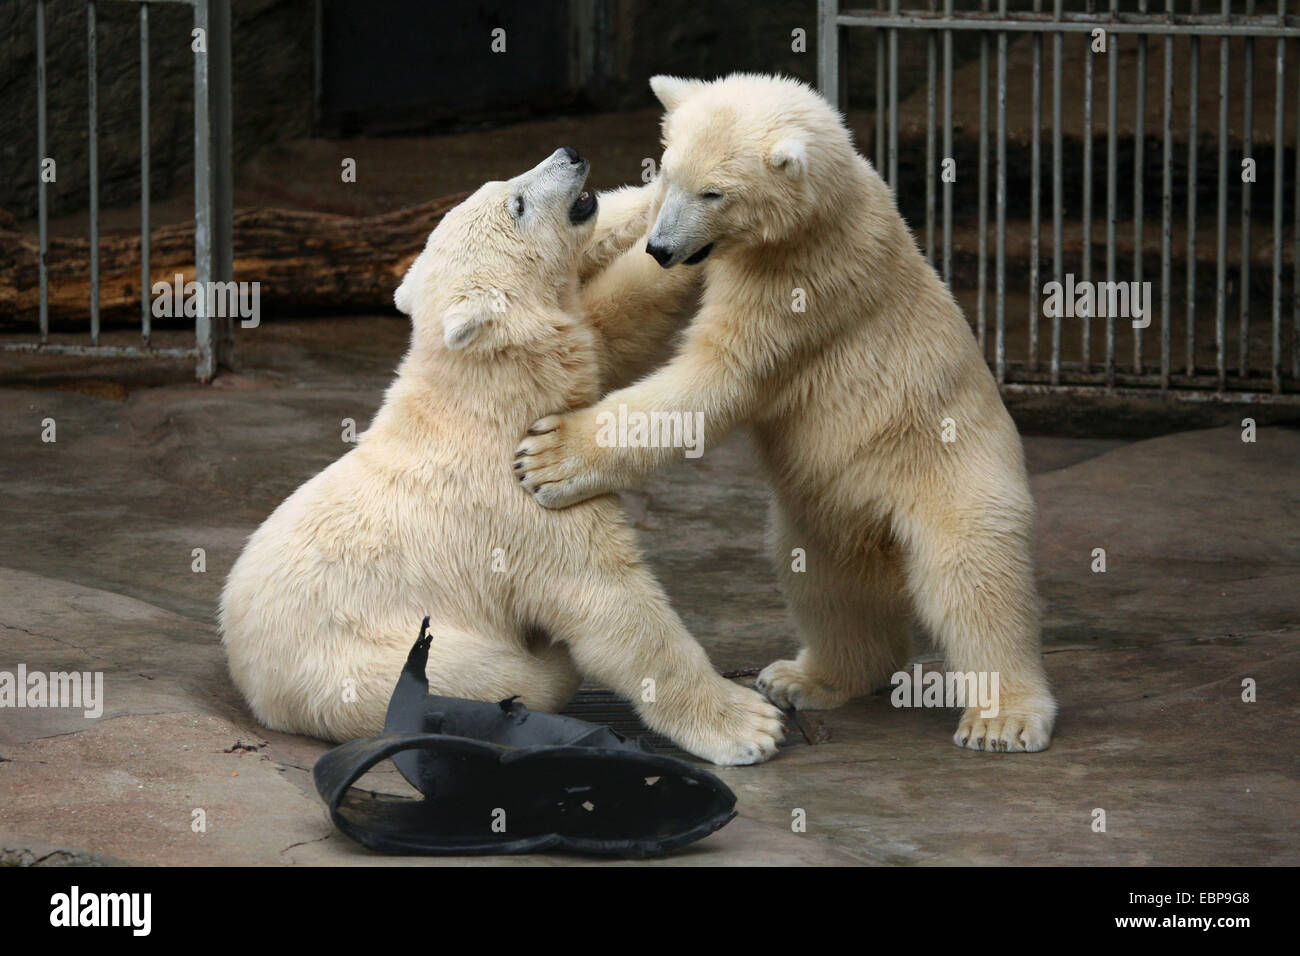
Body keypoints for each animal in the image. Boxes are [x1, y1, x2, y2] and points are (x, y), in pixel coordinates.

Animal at [218, 147, 780, 764]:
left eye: (501, 183)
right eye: (518, 203)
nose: (570, 155)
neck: (481, 394)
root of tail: (252, 681)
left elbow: (614, 321)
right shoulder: (517, 500)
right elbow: (611, 603)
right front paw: (748, 725)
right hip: (371, 664)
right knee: (500, 678)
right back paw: (546, 663)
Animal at [514, 74, 1055, 754]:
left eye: (714, 192)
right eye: (669, 173)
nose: (663, 248)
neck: (823, 214)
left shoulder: (804, 288)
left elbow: (716, 379)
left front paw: (550, 458)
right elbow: (627, 269)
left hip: (952, 473)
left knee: (974, 580)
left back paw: (1003, 718)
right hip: (825, 506)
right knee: (824, 582)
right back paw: (809, 677)